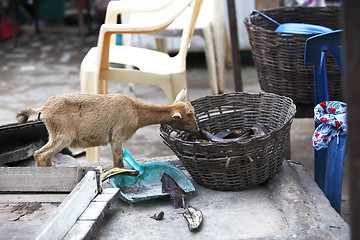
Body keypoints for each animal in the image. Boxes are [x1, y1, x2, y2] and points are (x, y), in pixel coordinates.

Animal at [16, 88, 197, 167]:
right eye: (188, 122)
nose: (197, 130)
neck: (136, 111)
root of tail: (43, 109)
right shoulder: (117, 136)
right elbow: (118, 158)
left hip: (55, 135)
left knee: (47, 156)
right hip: (62, 135)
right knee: (40, 154)